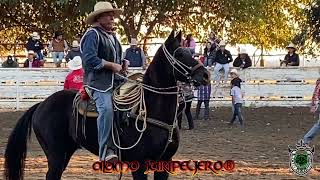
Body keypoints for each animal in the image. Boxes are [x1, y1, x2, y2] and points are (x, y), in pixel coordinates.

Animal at [5, 30, 210, 179]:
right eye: (180, 53)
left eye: (190, 52)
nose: (206, 75)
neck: (153, 110)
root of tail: (41, 105)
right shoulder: (139, 164)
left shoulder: (164, 163)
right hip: (55, 155)